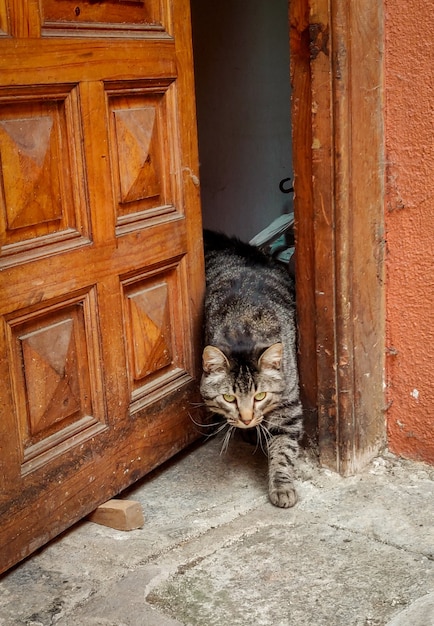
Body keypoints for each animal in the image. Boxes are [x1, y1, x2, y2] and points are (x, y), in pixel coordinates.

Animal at [199, 229, 302, 508]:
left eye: (260, 395)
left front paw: (282, 485)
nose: (245, 419)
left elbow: (283, 450)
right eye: (228, 397)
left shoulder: (288, 407)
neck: (243, 328)